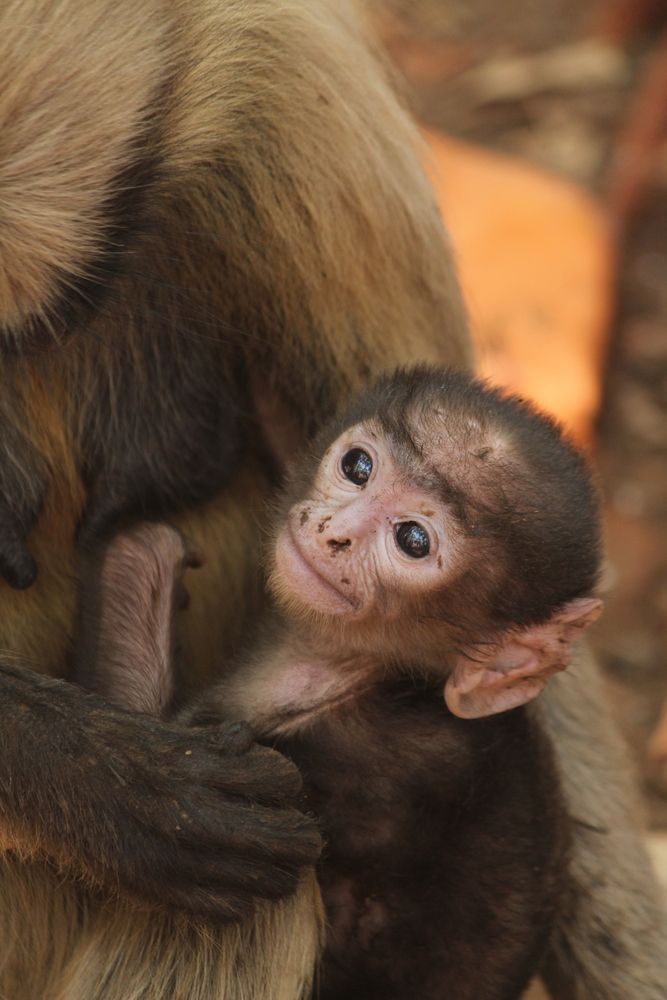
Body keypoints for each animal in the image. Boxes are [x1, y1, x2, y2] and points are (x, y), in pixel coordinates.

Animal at [77, 366, 605, 999]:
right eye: (357, 467)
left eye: (413, 540)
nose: (336, 532)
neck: (370, 678)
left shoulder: (366, 762)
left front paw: (144, 562)